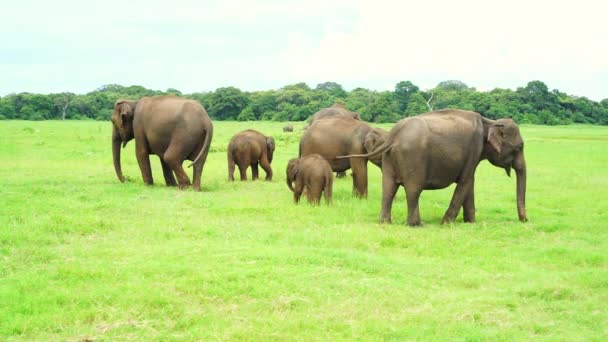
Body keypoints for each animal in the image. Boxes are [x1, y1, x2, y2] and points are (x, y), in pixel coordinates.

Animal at [338, 109, 528, 226]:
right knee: (413, 189)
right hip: (414, 157)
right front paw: (446, 224)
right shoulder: (474, 149)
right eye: (519, 147)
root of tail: (393, 136)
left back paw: (385, 222)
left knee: (388, 188)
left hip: (389, 158)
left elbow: (469, 183)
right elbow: (466, 181)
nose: (524, 221)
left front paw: (470, 222)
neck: (490, 122)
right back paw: (416, 224)